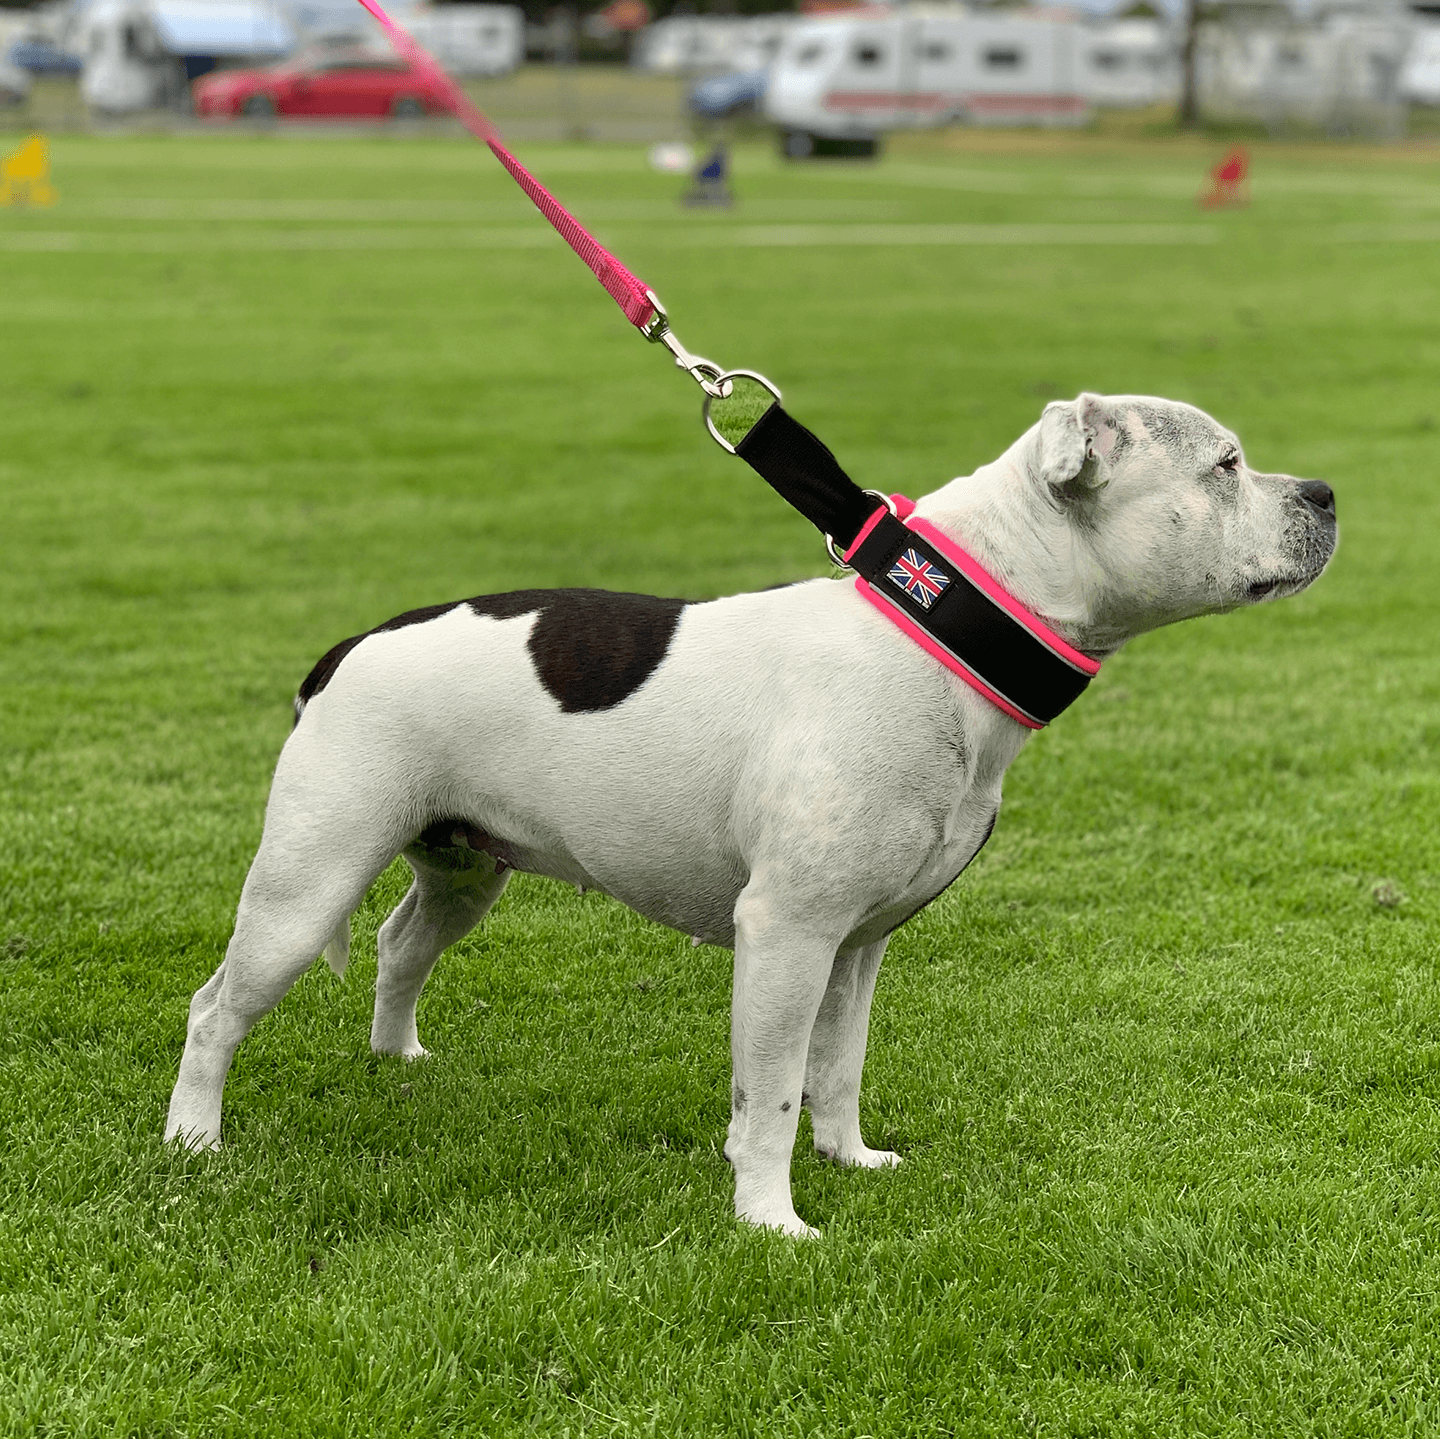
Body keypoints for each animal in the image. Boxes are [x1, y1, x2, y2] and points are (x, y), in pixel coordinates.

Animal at [165, 397, 1336, 1238]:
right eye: (1226, 466)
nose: (1324, 491)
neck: (942, 631)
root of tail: (348, 645)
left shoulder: (857, 943)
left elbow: (838, 1066)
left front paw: (850, 1157)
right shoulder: (787, 934)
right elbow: (769, 1091)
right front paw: (772, 1220)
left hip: (462, 866)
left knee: (404, 943)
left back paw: (396, 1056)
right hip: (308, 879)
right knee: (217, 1006)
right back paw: (193, 1139)